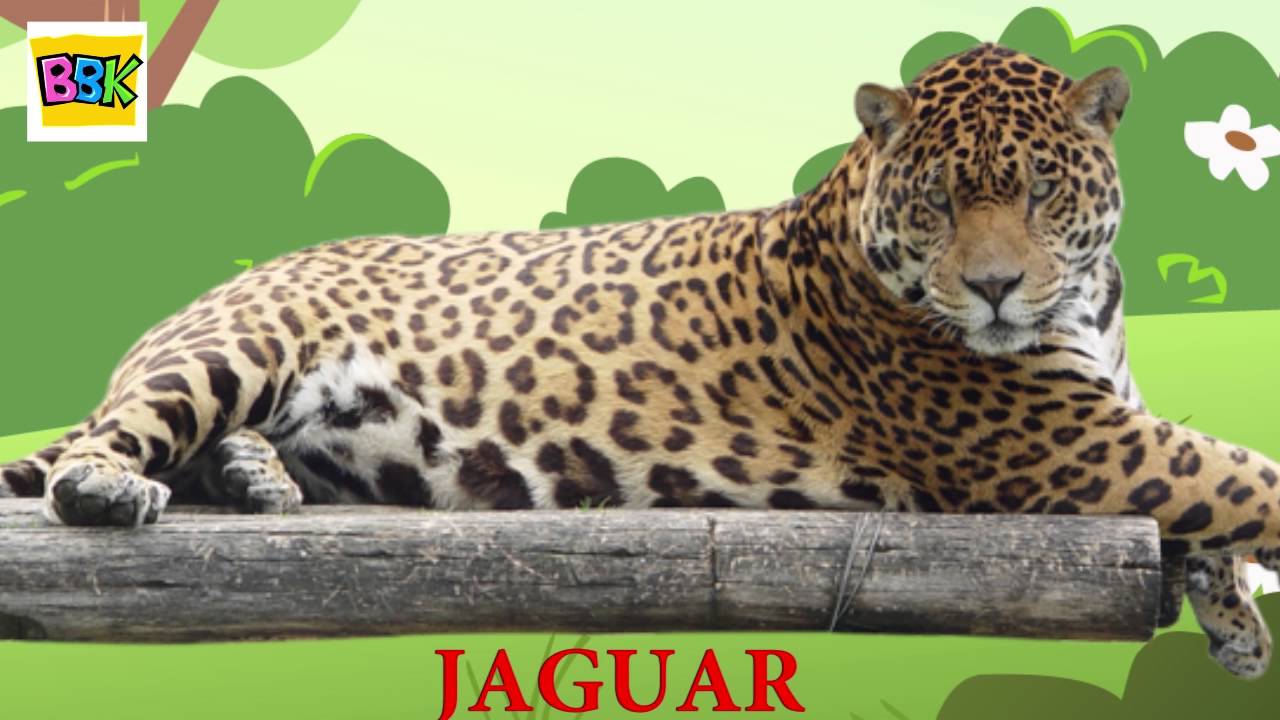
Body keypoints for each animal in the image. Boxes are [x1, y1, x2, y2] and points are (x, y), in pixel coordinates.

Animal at [2, 43, 1278, 678]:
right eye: (938, 200)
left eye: (1039, 191)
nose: (996, 288)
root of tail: (228, 279)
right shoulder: (1069, 443)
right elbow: (1244, 477)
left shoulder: (1110, 423)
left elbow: (1215, 501)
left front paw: (1233, 622)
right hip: (238, 345)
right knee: (94, 450)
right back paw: (121, 487)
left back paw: (254, 477)